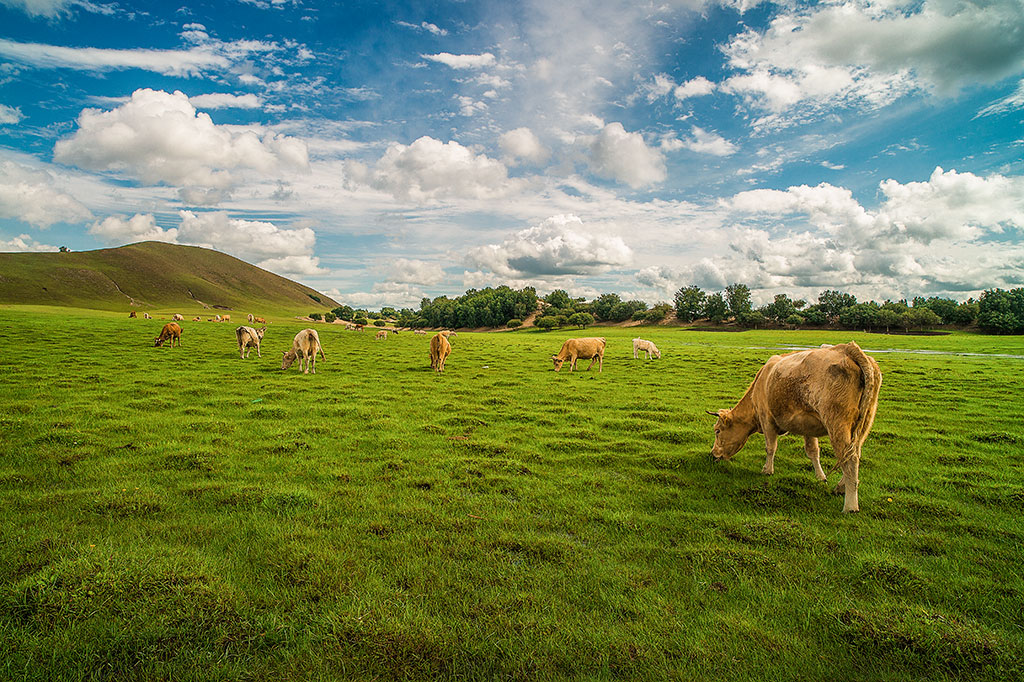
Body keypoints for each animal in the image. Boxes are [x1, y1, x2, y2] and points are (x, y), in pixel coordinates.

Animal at [708, 339, 884, 509]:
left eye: (717, 431)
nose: (713, 454)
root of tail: (848, 349)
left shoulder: (766, 419)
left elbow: (770, 447)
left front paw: (767, 470)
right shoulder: (808, 425)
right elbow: (813, 451)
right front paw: (820, 477)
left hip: (837, 422)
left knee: (850, 458)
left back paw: (850, 505)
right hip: (863, 424)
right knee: (854, 453)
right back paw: (841, 487)